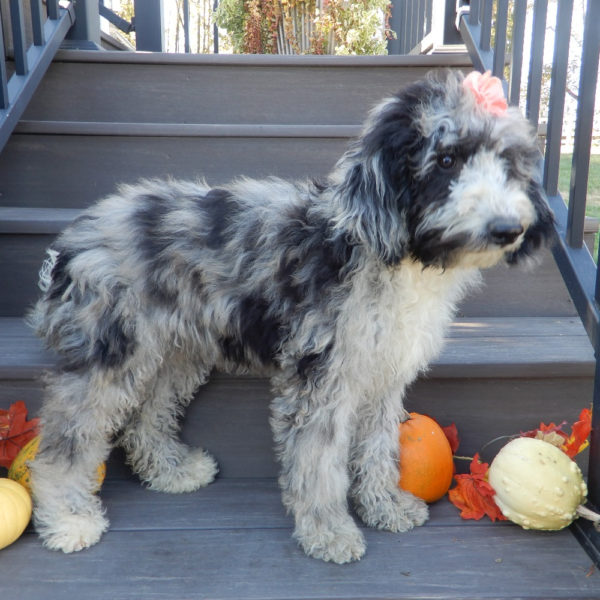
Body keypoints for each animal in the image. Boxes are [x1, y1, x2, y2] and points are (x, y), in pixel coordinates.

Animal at [28, 70, 552, 564]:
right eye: (446, 160)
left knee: (145, 418)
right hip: (108, 358)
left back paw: (171, 472)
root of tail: (73, 240)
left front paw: (385, 506)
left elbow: (380, 447)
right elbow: (318, 464)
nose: (508, 229)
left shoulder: (381, 374)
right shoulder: (321, 376)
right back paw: (67, 517)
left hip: (175, 353)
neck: (384, 250)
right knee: (63, 442)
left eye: (509, 162)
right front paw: (329, 532)